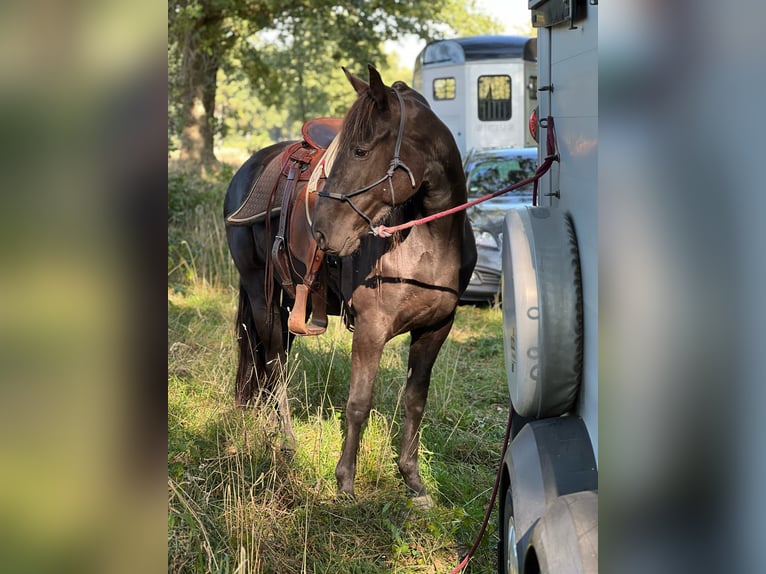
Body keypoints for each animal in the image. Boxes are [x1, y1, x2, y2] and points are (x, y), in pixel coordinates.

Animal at [224, 65, 474, 502]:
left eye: (360, 151)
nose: (321, 232)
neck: (431, 241)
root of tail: (247, 169)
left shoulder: (436, 328)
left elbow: (415, 401)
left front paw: (413, 480)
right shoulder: (371, 328)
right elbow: (359, 402)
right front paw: (345, 483)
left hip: (285, 300)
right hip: (261, 294)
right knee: (274, 364)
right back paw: (286, 439)